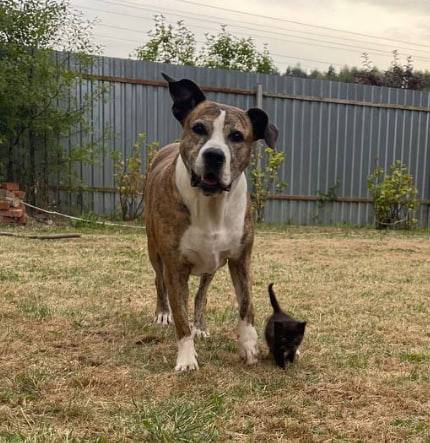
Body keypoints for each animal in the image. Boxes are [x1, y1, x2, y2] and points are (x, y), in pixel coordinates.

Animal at [144, 73, 278, 372]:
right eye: (198, 128)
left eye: (237, 136)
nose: (214, 155)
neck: (212, 204)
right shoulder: (175, 265)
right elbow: (180, 316)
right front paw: (186, 358)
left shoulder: (240, 259)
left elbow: (246, 305)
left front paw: (249, 346)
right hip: (154, 250)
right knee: (159, 282)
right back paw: (162, 313)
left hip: (211, 266)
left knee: (201, 295)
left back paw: (201, 326)